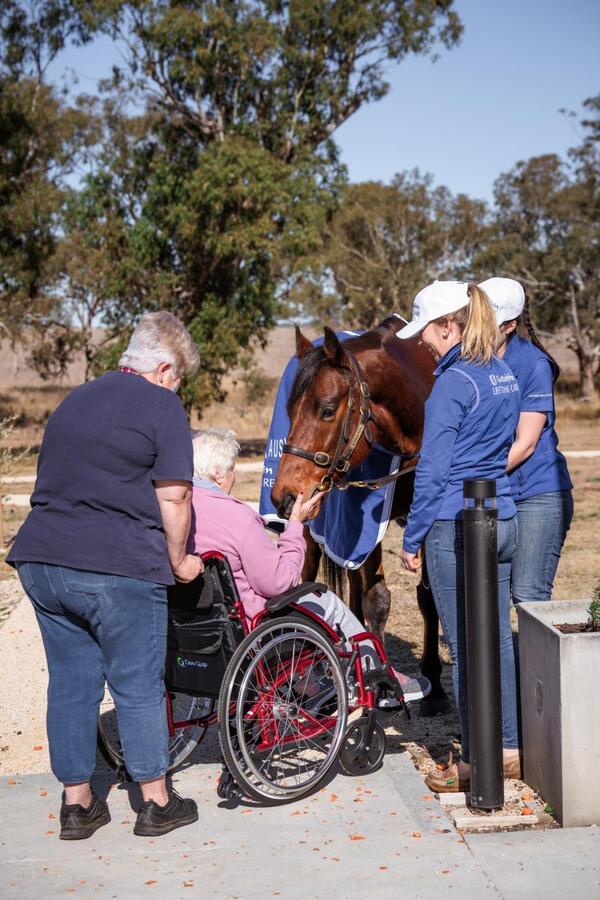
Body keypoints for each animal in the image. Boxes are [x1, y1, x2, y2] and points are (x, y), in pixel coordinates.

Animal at [270, 320, 448, 708]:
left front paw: (435, 686)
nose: (284, 496)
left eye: (326, 409)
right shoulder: (366, 527)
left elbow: (428, 598)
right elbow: (376, 600)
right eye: (290, 411)